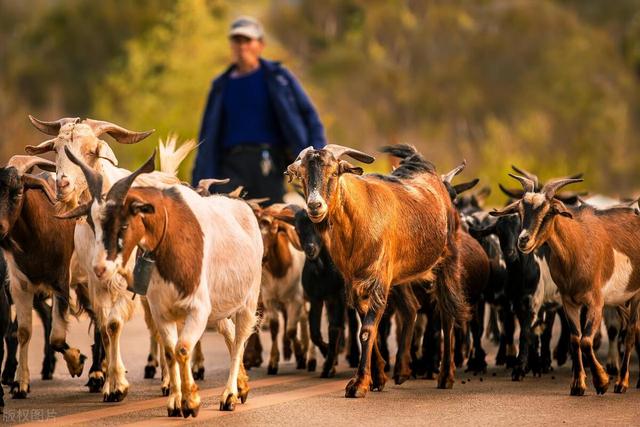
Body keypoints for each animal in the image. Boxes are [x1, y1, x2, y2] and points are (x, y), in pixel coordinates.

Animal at [284, 145, 470, 398]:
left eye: (334, 173)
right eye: (302, 175)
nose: (315, 206)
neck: (357, 222)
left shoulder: (378, 280)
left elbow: (367, 329)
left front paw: (359, 384)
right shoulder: (353, 282)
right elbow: (367, 325)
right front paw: (379, 376)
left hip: (447, 261)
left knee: (447, 313)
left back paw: (445, 377)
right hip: (401, 275)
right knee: (411, 307)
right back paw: (401, 371)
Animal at [492, 176, 640, 396]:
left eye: (549, 212)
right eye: (519, 210)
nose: (523, 240)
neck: (578, 247)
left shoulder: (596, 302)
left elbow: (586, 340)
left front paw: (602, 382)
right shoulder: (568, 301)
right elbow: (575, 339)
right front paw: (578, 385)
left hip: (636, 295)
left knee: (630, 333)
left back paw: (621, 384)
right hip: (621, 300)